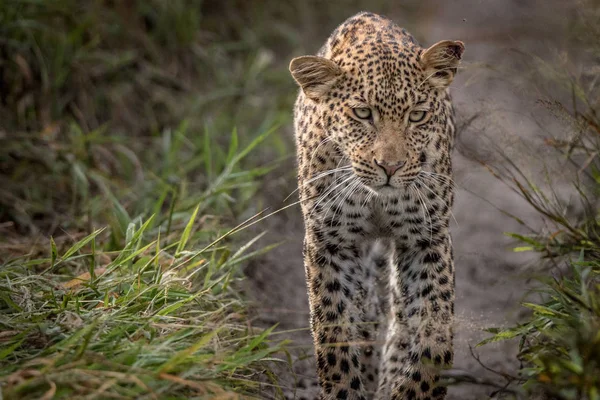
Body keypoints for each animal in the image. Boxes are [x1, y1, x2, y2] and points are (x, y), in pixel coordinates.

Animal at [288, 10, 466, 398]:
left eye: (417, 115)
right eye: (362, 113)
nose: (391, 166)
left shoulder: (425, 239)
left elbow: (432, 327)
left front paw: (415, 386)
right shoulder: (331, 242)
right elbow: (335, 327)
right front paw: (345, 387)